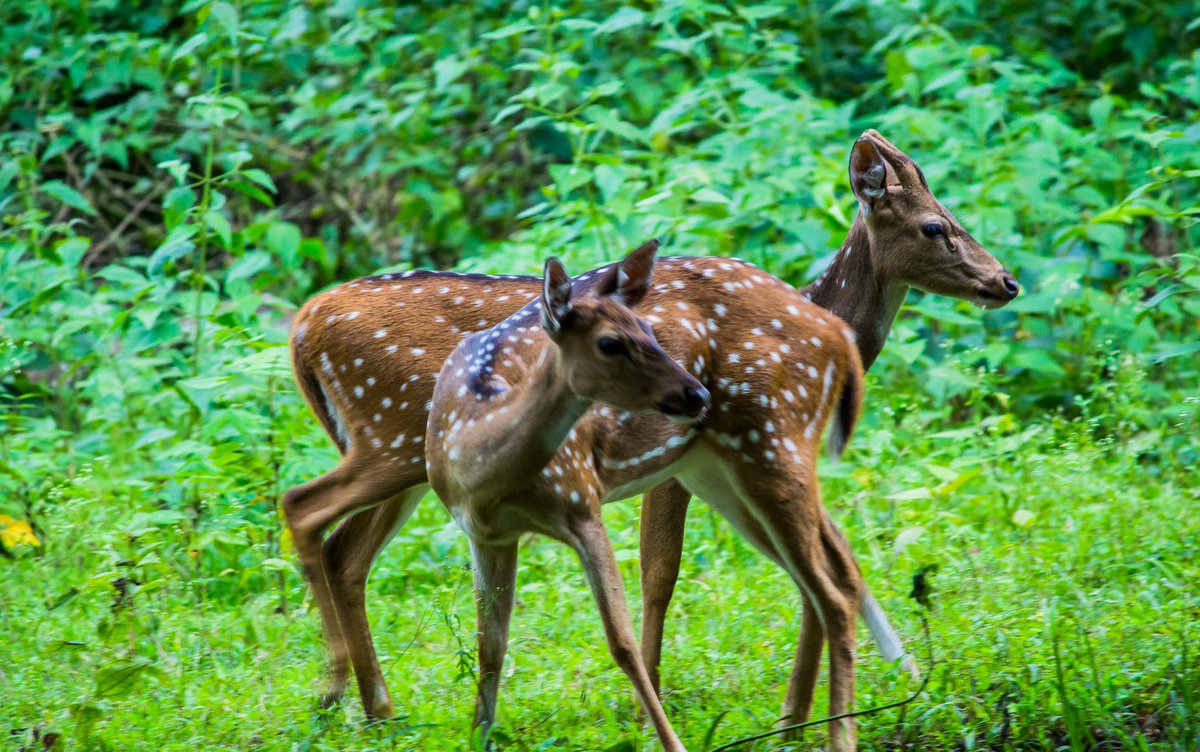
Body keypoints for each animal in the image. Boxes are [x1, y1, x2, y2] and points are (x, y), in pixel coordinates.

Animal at [424, 241, 711, 749]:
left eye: (649, 330)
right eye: (610, 343)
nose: (697, 394)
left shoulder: (581, 502)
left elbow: (621, 643)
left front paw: (672, 742)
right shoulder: (487, 535)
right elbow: (490, 645)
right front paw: (480, 735)